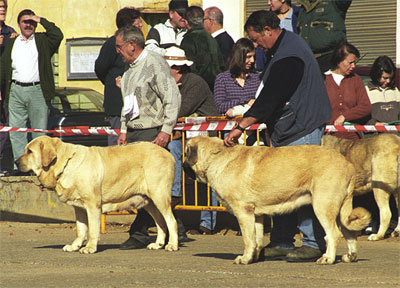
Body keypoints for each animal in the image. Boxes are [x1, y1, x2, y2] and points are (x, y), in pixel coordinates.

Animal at [17, 136, 178, 253]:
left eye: (30, 151)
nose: (16, 162)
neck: (65, 163)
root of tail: (168, 154)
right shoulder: (79, 208)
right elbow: (80, 230)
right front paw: (75, 246)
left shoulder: (92, 205)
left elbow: (93, 229)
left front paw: (89, 247)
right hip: (149, 202)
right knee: (161, 222)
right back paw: (158, 244)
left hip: (159, 196)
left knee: (171, 221)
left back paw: (172, 245)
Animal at [183, 136, 370, 264]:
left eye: (186, 154)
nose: (183, 166)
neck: (217, 156)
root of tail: (347, 164)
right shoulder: (256, 215)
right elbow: (257, 239)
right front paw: (254, 257)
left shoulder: (243, 212)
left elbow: (248, 239)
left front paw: (244, 259)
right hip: (339, 209)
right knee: (349, 232)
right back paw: (350, 256)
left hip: (322, 206)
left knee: (333, 234)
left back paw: (328, 258)